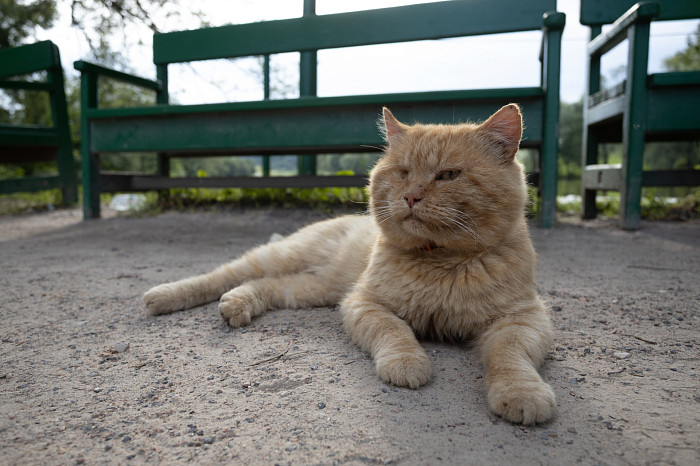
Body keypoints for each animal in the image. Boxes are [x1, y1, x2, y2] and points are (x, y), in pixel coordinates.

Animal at [145, 105, 556, 426]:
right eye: (403, 172)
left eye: (449, 175)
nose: (411, 196)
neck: (439, 261)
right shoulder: (365, 303)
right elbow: (395, 333)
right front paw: (407, 363)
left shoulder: (523, 318)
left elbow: (510, 355)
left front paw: (523, 393)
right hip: (285, 260)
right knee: (222, 275)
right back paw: (162, 297)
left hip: (314, 290)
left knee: (268, 286)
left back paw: (236, 305)